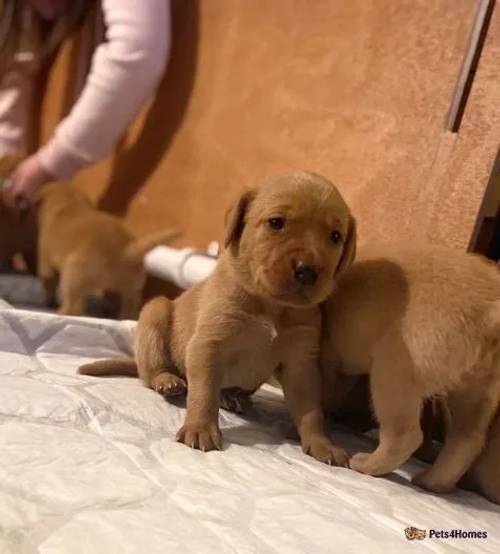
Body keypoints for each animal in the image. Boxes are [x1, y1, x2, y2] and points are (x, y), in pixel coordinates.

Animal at [80, 171, 356, 462]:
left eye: (335, 236)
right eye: (276, 223)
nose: (308, 271)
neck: (271, 305)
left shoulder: (301, 363)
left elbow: (311, 411)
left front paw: (322, 443)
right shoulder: (209, 344)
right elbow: (203, 392)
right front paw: (200, 428)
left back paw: (233, 397)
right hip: (156, 312)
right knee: (151, 371)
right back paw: (168, 380)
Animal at [320, 243, 500, 500]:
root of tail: (491, 307)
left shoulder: (327, 356)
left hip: (393, 369)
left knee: (405, 434)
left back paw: (366, 464)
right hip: (476, 390)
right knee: (468, 438)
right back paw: (432, 482)